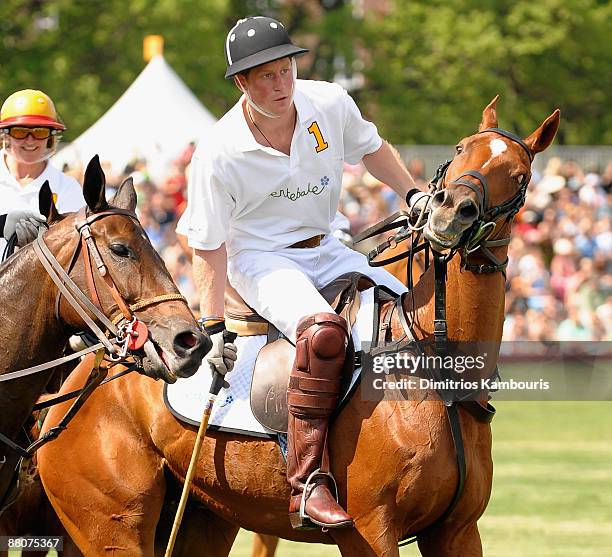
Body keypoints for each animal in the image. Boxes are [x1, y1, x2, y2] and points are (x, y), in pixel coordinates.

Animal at [35, 101, 556, 556]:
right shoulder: (368, 530)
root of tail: (82, 378)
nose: (450, 210)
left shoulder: (458, 531)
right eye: (461, 147)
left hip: (203, 516)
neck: (434, 363)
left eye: (521, 175)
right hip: (112, 524)